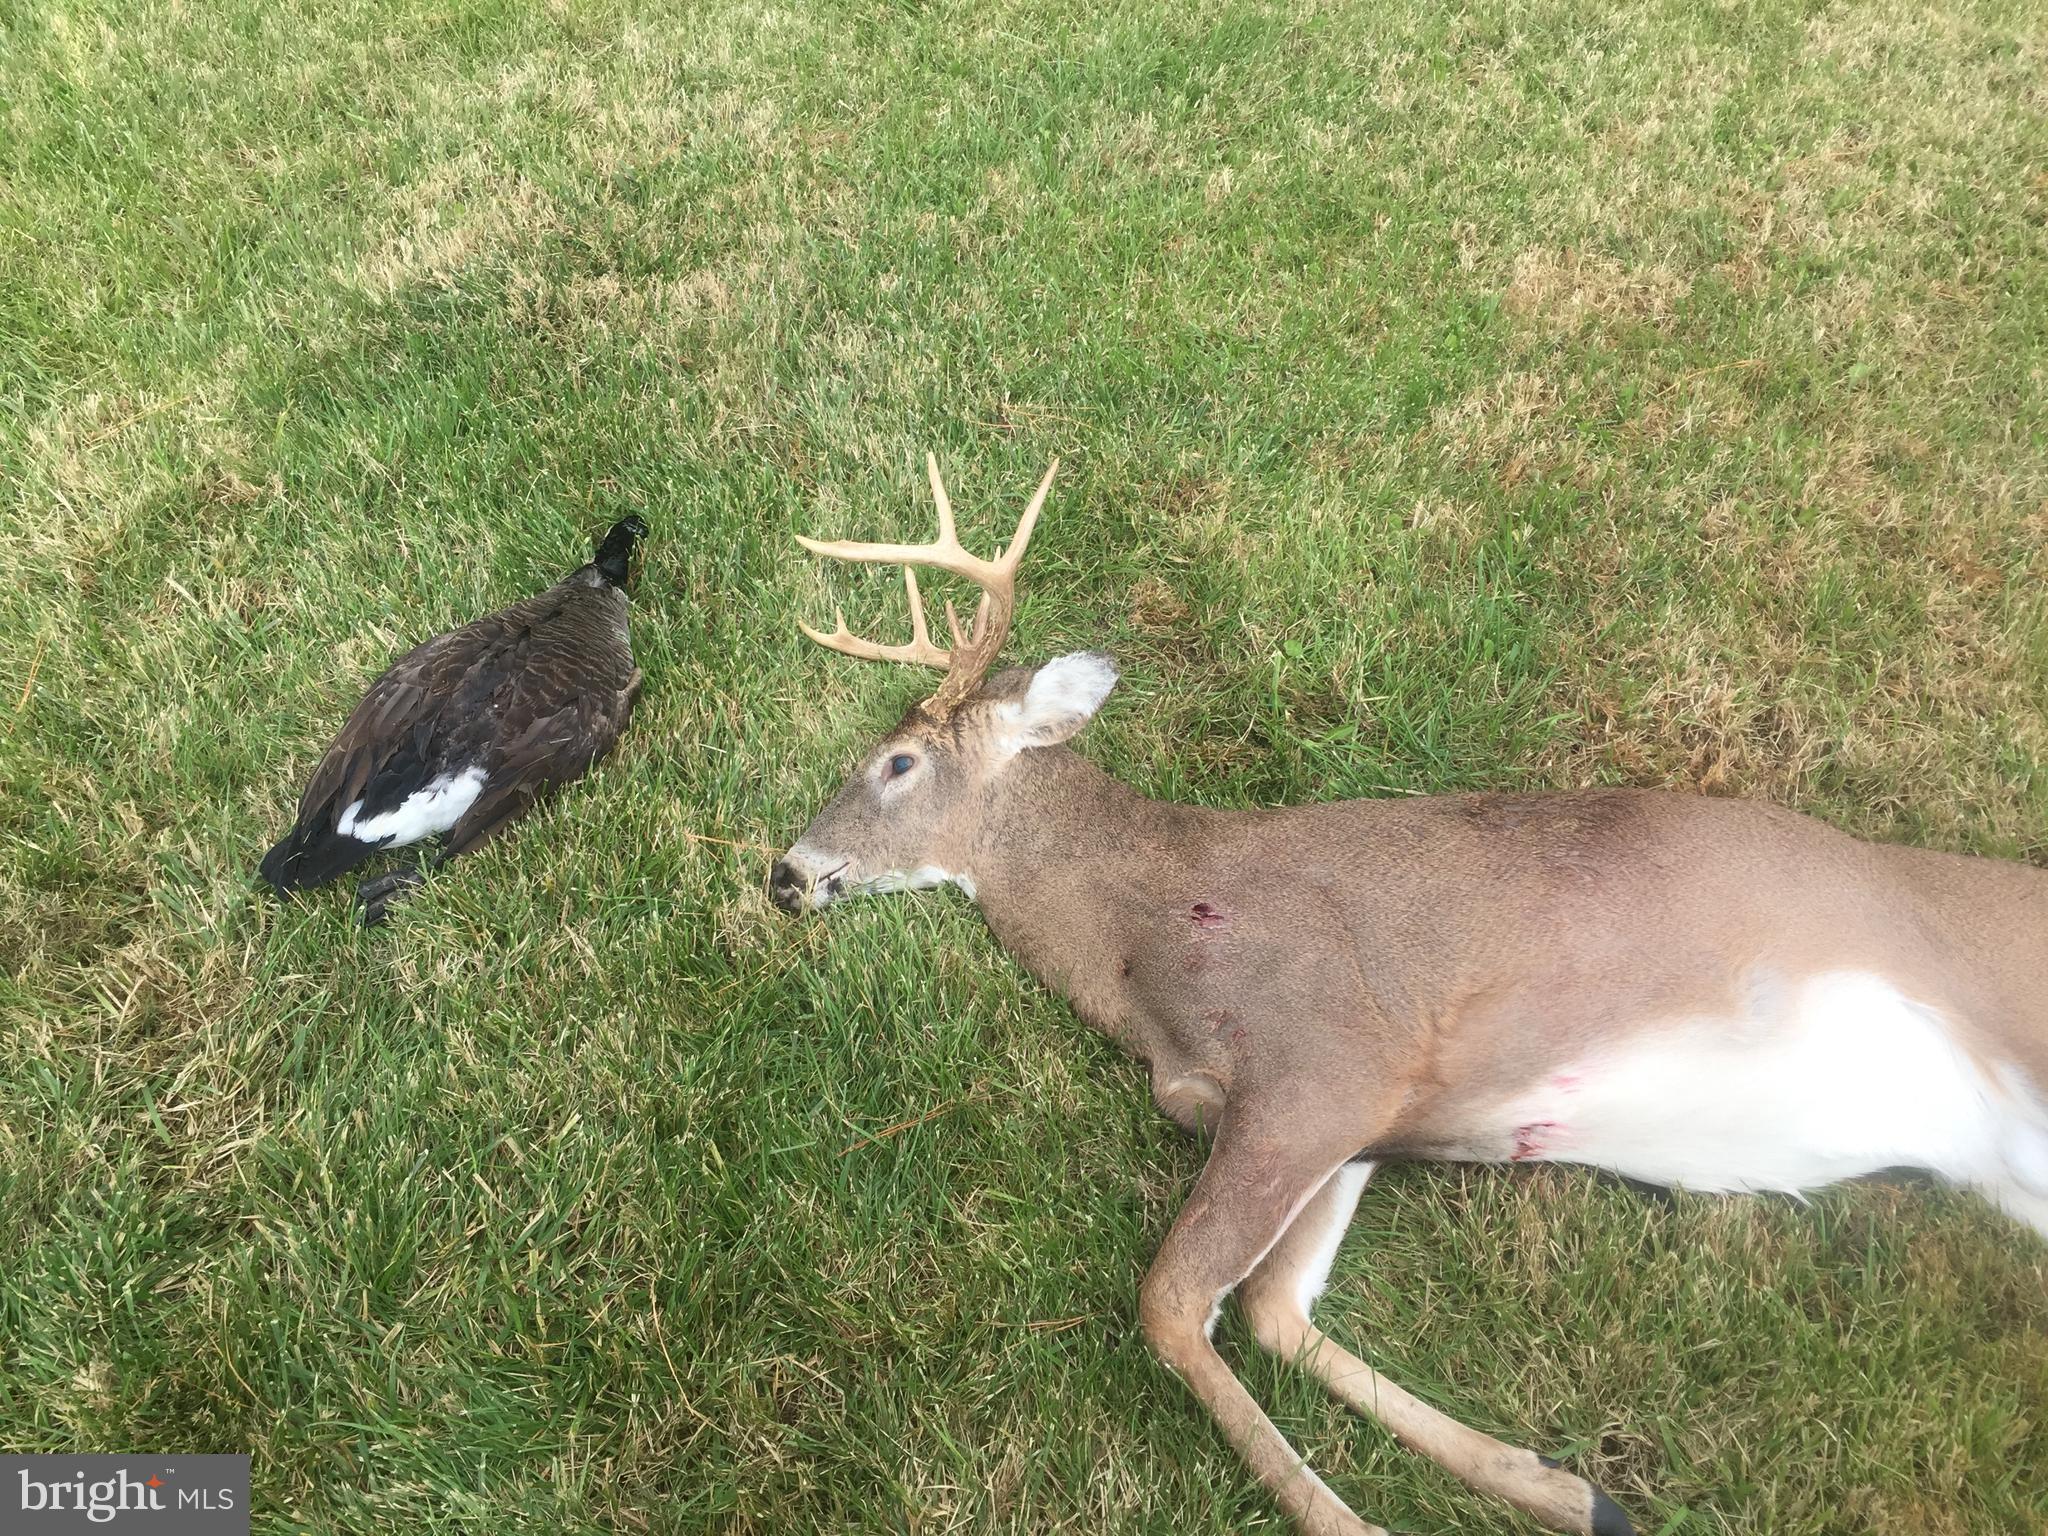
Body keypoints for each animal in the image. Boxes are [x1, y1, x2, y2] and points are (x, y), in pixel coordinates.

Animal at [767, 455, 2048, 1536]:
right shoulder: (1356, 1124)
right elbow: (1277, 1313)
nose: (782, 873)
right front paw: (1567, 1489)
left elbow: (1171, 1304)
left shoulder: (1326, 1064)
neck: (1145, 949)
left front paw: (1349, 1519)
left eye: (894, 763)